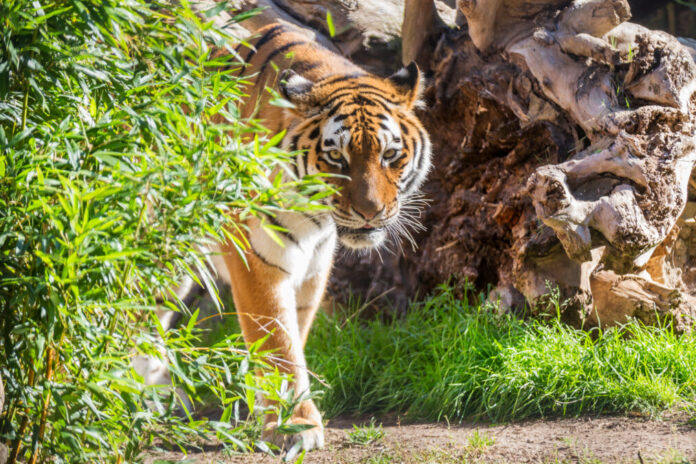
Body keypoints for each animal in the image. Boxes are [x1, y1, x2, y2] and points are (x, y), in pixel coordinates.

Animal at [215, 22, 432, 452]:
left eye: (389, 155)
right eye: (336, 158)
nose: (370, 212)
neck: (311, 218)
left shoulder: (313, 266)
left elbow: (294, 338)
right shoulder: (256, 260)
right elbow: (278, 345)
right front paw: (294, 426)